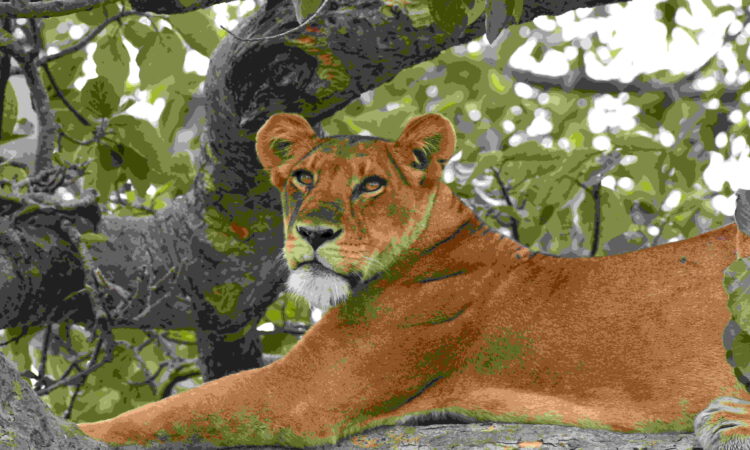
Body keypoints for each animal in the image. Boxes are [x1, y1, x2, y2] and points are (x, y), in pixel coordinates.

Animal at [78, 113, 750, 448]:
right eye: (303, 177)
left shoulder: (298, 394)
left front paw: (79, 430)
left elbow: (169, 411)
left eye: (370, 185)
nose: (313, 233)